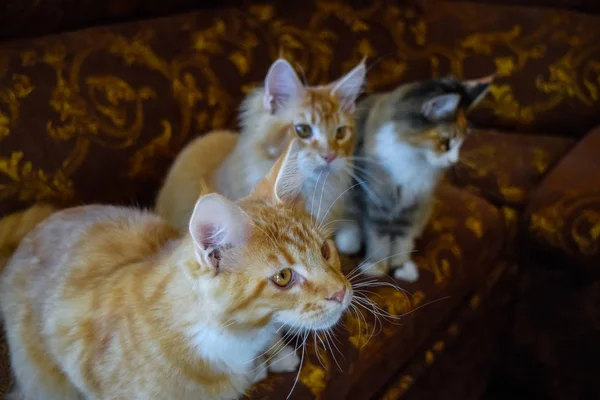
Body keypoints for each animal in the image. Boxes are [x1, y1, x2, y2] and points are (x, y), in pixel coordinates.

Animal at [338, 76, 492, 282]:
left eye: (460, 143)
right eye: (445, 142)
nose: (453, 161)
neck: (413, 155)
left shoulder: (414, 203)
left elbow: (402, 240)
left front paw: (400, 265)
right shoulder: (379, 199)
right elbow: (378, 237)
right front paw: (377, 265)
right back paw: (349, 240)